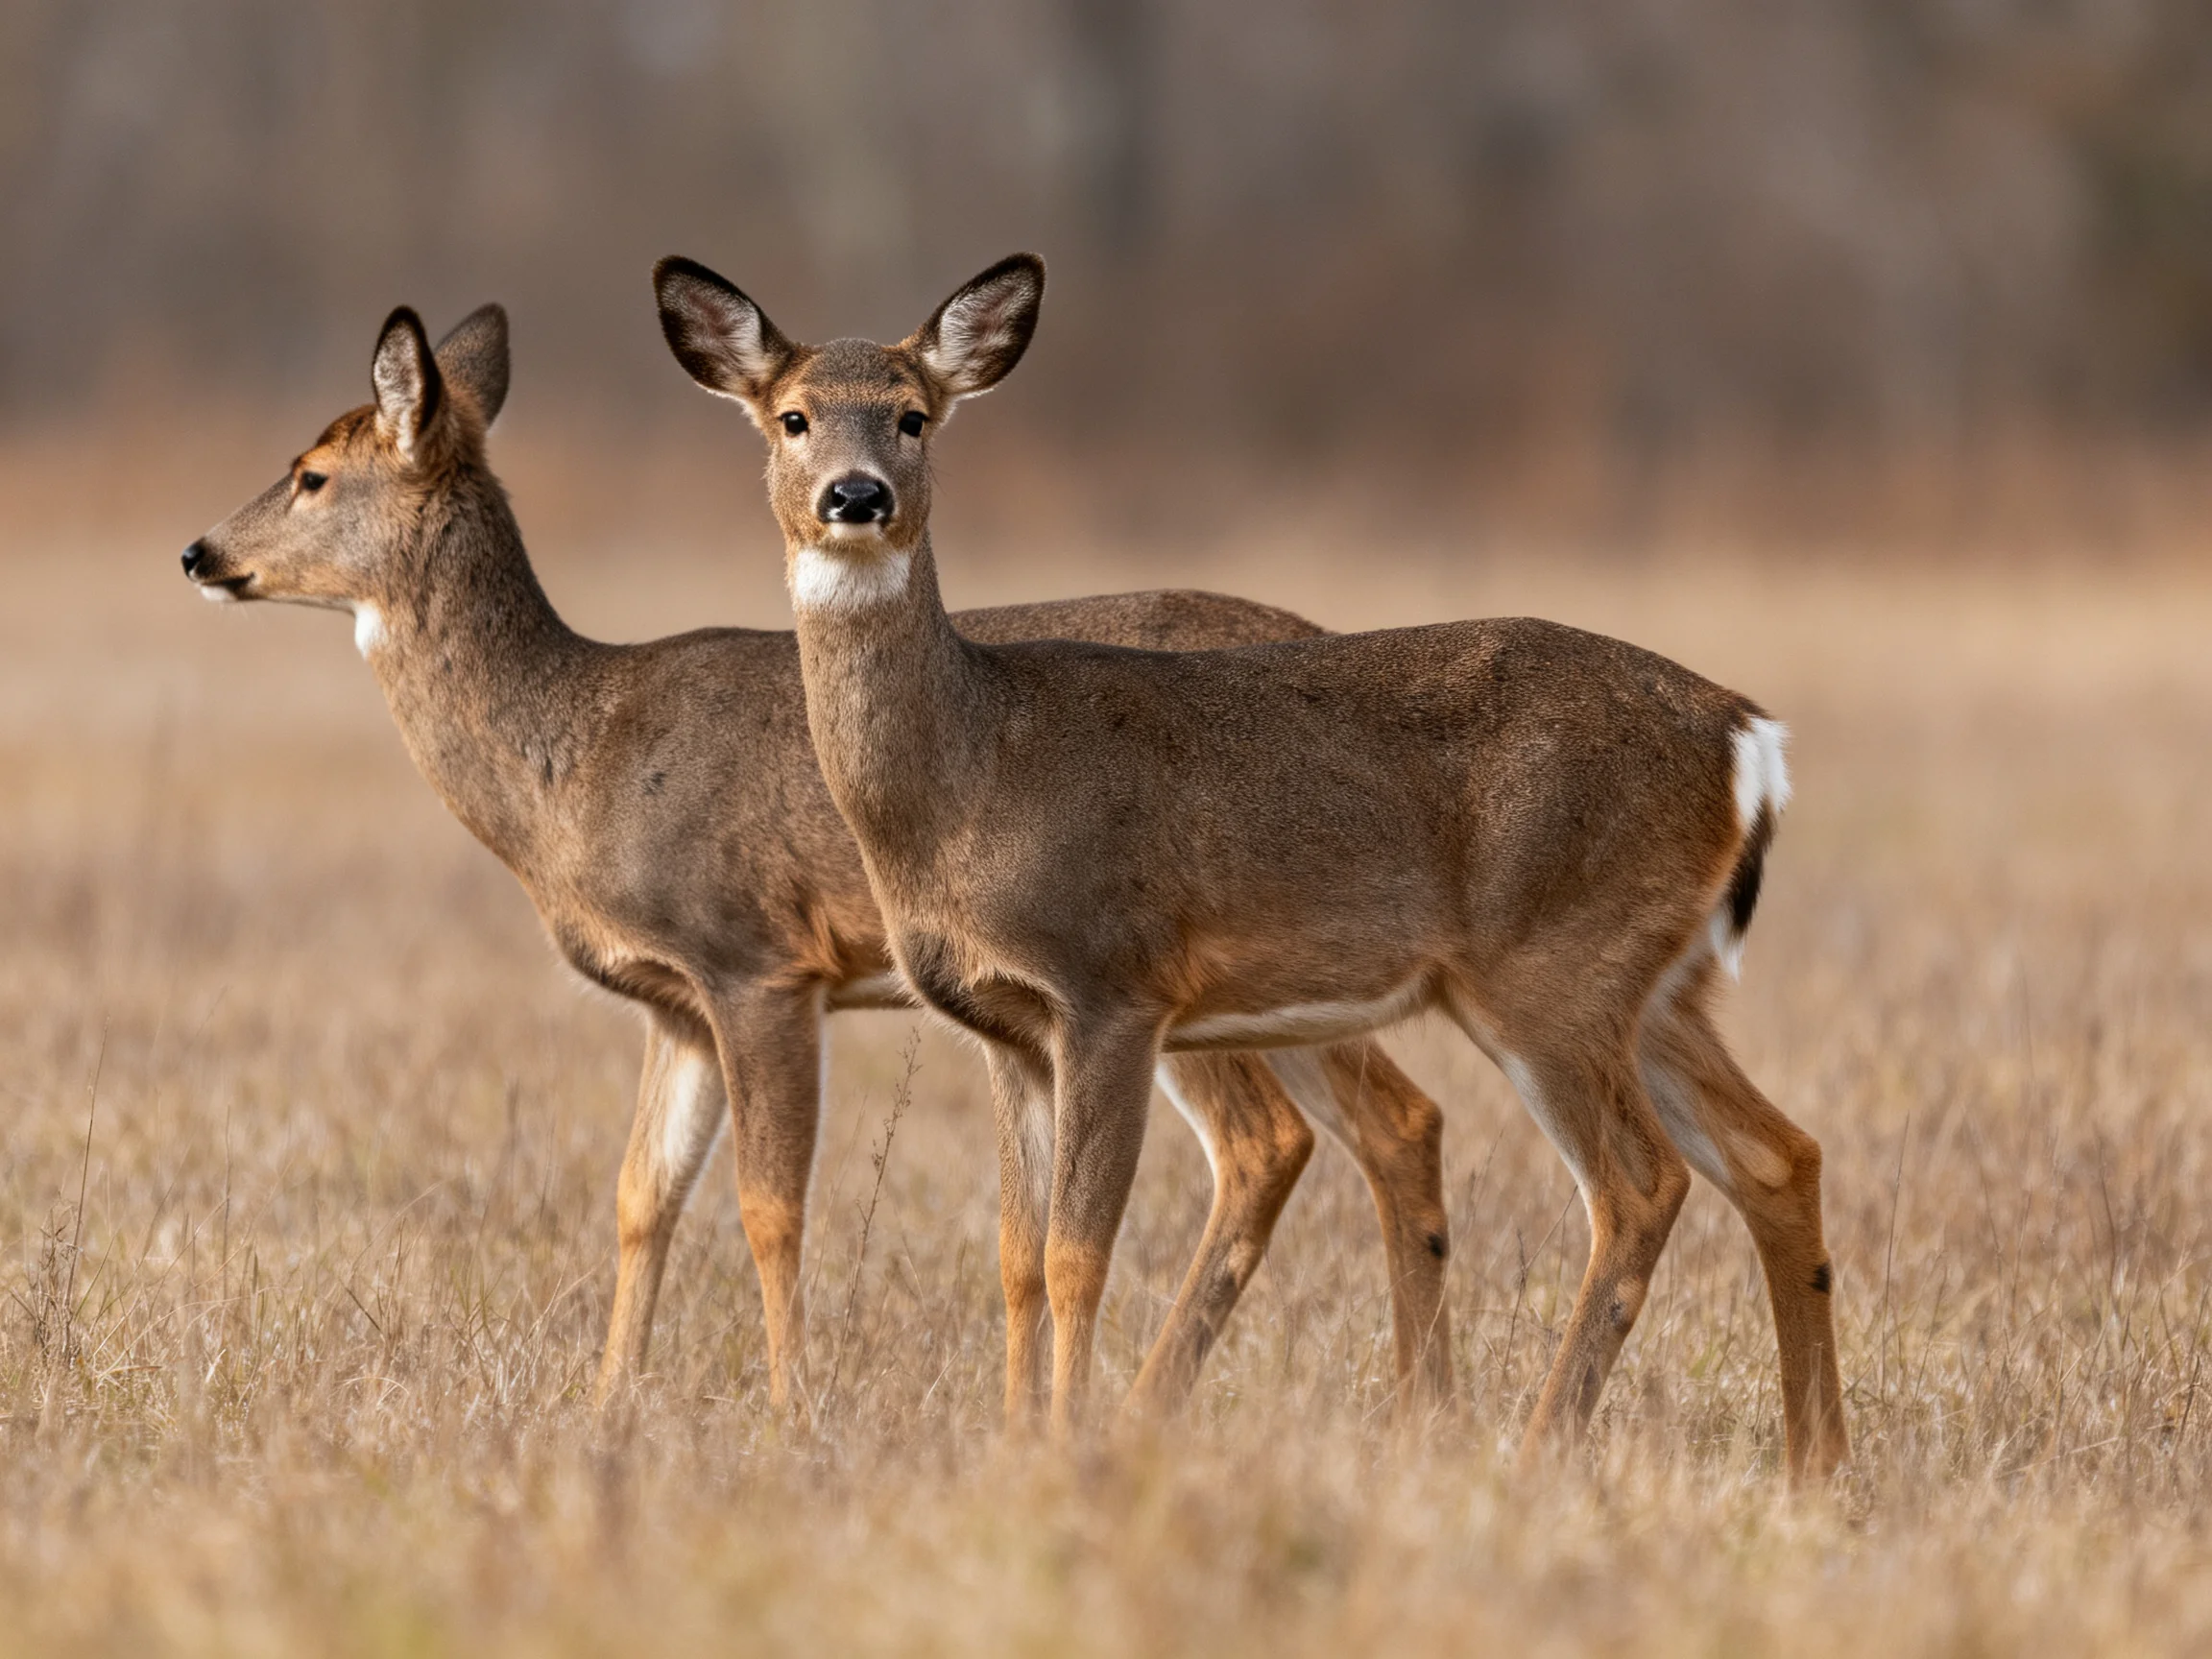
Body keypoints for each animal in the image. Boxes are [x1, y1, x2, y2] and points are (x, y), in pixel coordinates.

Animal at [179, 301, 1458, 1422]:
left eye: (310, 473)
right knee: (1395, 1122)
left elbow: (768, 1204)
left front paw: (790, 1413)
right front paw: (605, 1409)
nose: (198, 551)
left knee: (1268, 1141)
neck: (580, 757)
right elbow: (642, 1197)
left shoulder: (756, 960)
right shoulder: (676, 1004)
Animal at [652, 251, 1850, 1480]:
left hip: (1552, 969)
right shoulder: (1006, 1027)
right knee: (1778, 1155)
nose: (857, 497)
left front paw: (1071, 1444)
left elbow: (1079, 1253)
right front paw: (1017, 1443)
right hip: (1655, 982)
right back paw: (1819, 1467)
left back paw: (1537, 1445)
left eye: (913, 416)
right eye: (792, 418)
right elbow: (1017, 1258)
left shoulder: (1112, 986)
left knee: (1642, 1184)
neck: (970, 775)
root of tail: (1743, 733)